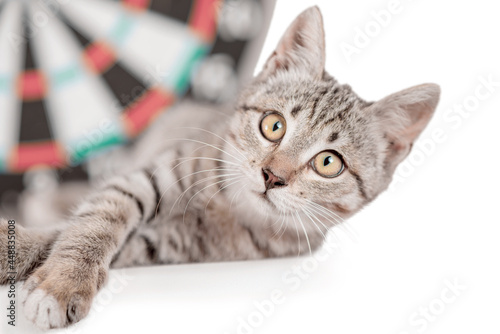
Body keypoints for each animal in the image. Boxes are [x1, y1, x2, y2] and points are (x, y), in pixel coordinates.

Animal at [0, 6, 440, 330]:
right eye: (273, 125)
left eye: (328, 163)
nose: (272, 176)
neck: (230, 205)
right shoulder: (150, 175)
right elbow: (95, 219)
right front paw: (58, 277)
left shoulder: (171, 245)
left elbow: (77, 234)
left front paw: (50, 276)